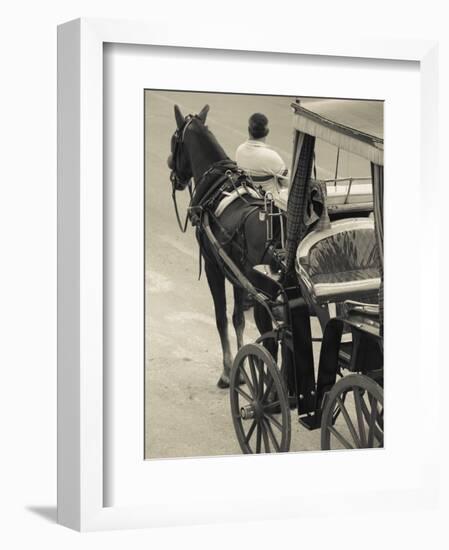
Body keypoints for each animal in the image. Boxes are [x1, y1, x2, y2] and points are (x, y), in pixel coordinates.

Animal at [168, 105, 280, 390]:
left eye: (174, 140)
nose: (172, 169)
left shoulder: (213, 266)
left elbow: (221, 318)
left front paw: (229, 372)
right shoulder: (237, 275)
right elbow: (238, 318)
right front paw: (242, 369)